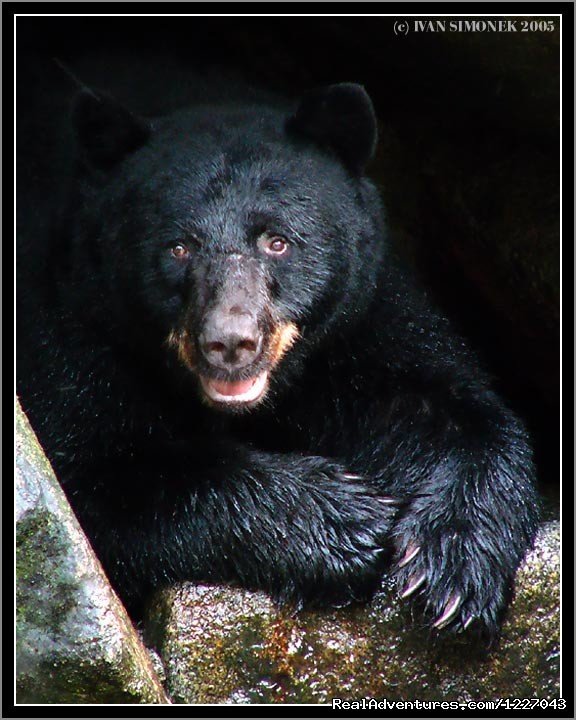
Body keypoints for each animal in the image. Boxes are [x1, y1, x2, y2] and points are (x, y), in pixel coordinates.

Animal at [18, 79, 540, 640]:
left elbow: (443, 408)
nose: (229, 342)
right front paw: (346, 519)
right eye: (178, 247)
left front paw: (454, 564)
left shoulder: (362, 327)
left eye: (277, 241)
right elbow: (94, 478)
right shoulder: (76, 335)